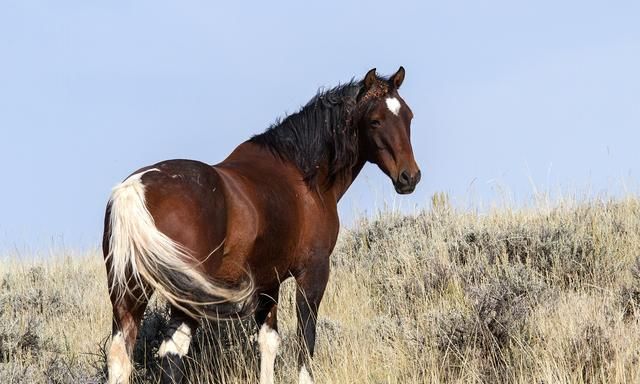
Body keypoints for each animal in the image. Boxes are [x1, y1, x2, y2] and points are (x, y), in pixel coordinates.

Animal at [102, 67, 422, 382]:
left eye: (408, 116)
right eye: (375, 120)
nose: (410, 177)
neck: (302, 176)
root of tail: (135, 189)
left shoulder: (269, 283)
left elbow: (269, 342)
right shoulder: (313, 273)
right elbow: (305, 342)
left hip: (129, 294)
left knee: (121, 353)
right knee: (173, 352)